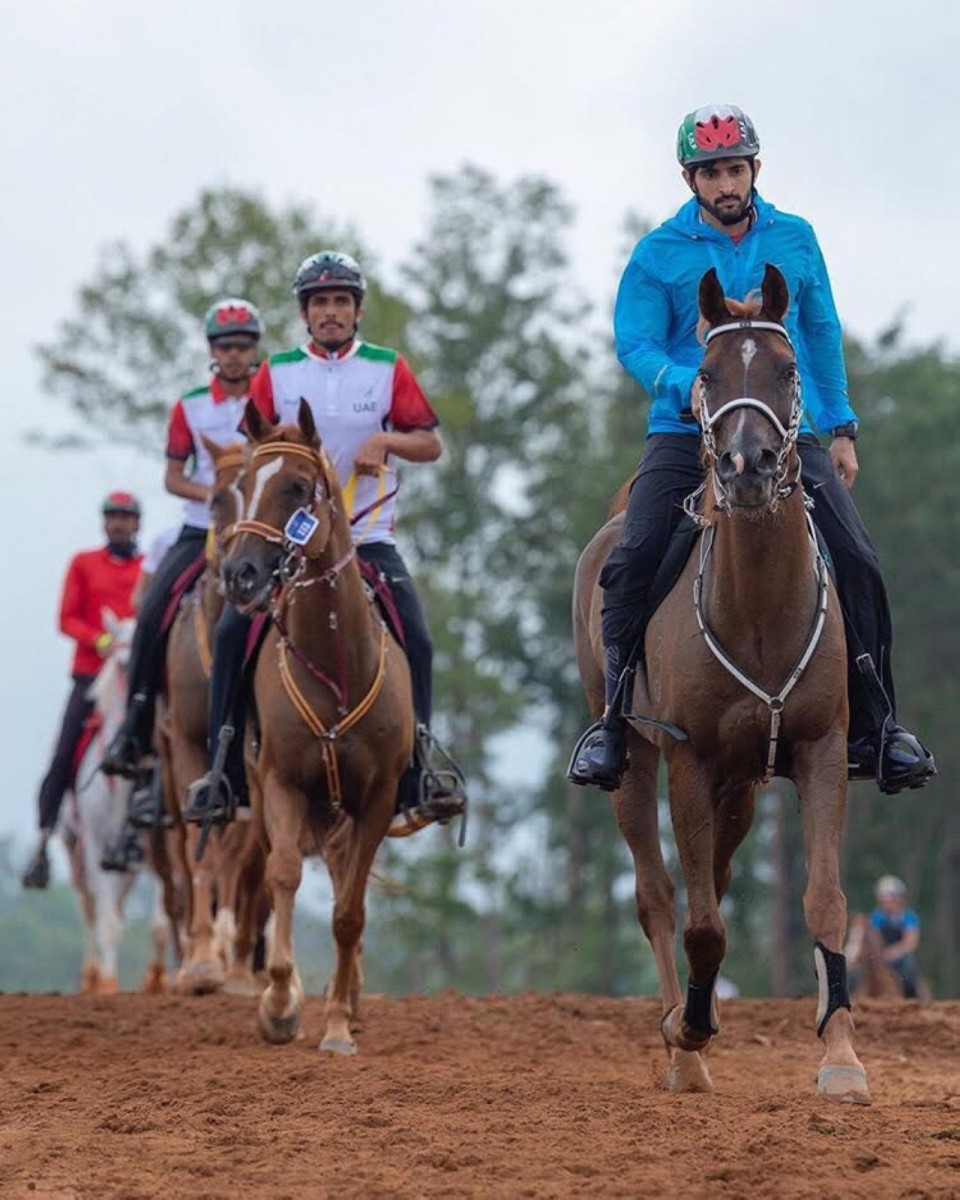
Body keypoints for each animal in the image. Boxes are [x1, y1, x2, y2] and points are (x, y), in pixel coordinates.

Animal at [63, 614, 171, 988]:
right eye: (121, 663)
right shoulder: (96, 849)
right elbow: (107, 923)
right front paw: (108, 985)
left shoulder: (156, 850)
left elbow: (160, 924)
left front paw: (157, 980)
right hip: (75, 852)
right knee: (90, 909)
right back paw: (91, 977)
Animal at [223, 400, 415, 1051]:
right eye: (242, 485)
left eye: (298, 487)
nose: (239, 573)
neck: (336, 666)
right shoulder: (283, 783)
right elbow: (282, 876)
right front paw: (280, 1005)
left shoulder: (377, 799)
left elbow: (349, 912)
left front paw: (336, 1027)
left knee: (342, 886)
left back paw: (348, 1001)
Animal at [573, 265, 873, 1104]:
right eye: (704, 374)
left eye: (789, 369)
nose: (747, 467)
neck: (760, 609)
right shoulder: (688, 761)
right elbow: (700, 920)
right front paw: (691, 1031)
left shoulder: (822, 748)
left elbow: (826, 900)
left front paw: (842, 1058)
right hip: (636, 762)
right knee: (659, 894)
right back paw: (684, 1040)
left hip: (742, 784)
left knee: (720, 872)